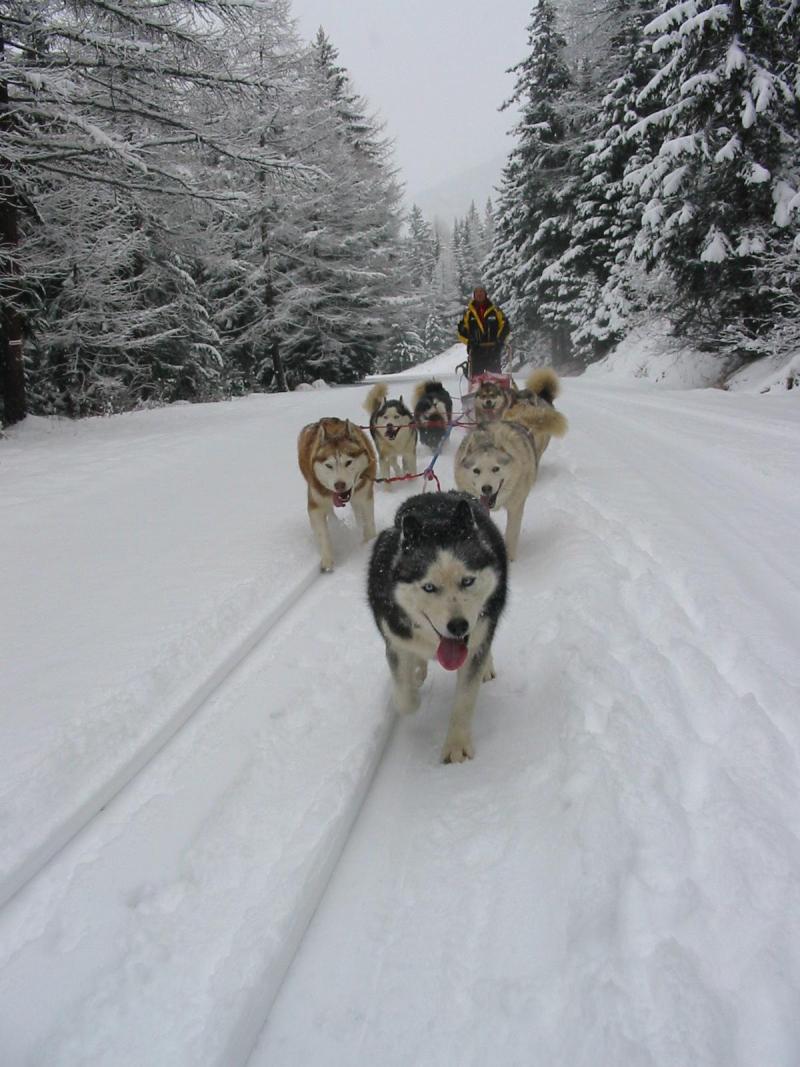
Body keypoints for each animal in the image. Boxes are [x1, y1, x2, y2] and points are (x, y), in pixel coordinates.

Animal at [369, 488, 507, 763]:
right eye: (429, 587)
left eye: (468, 581)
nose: (458, 626)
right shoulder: (396, 642)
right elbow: (405, 700)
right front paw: (412, 691)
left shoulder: (475, 643)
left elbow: (464, 699)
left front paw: (457, 745)